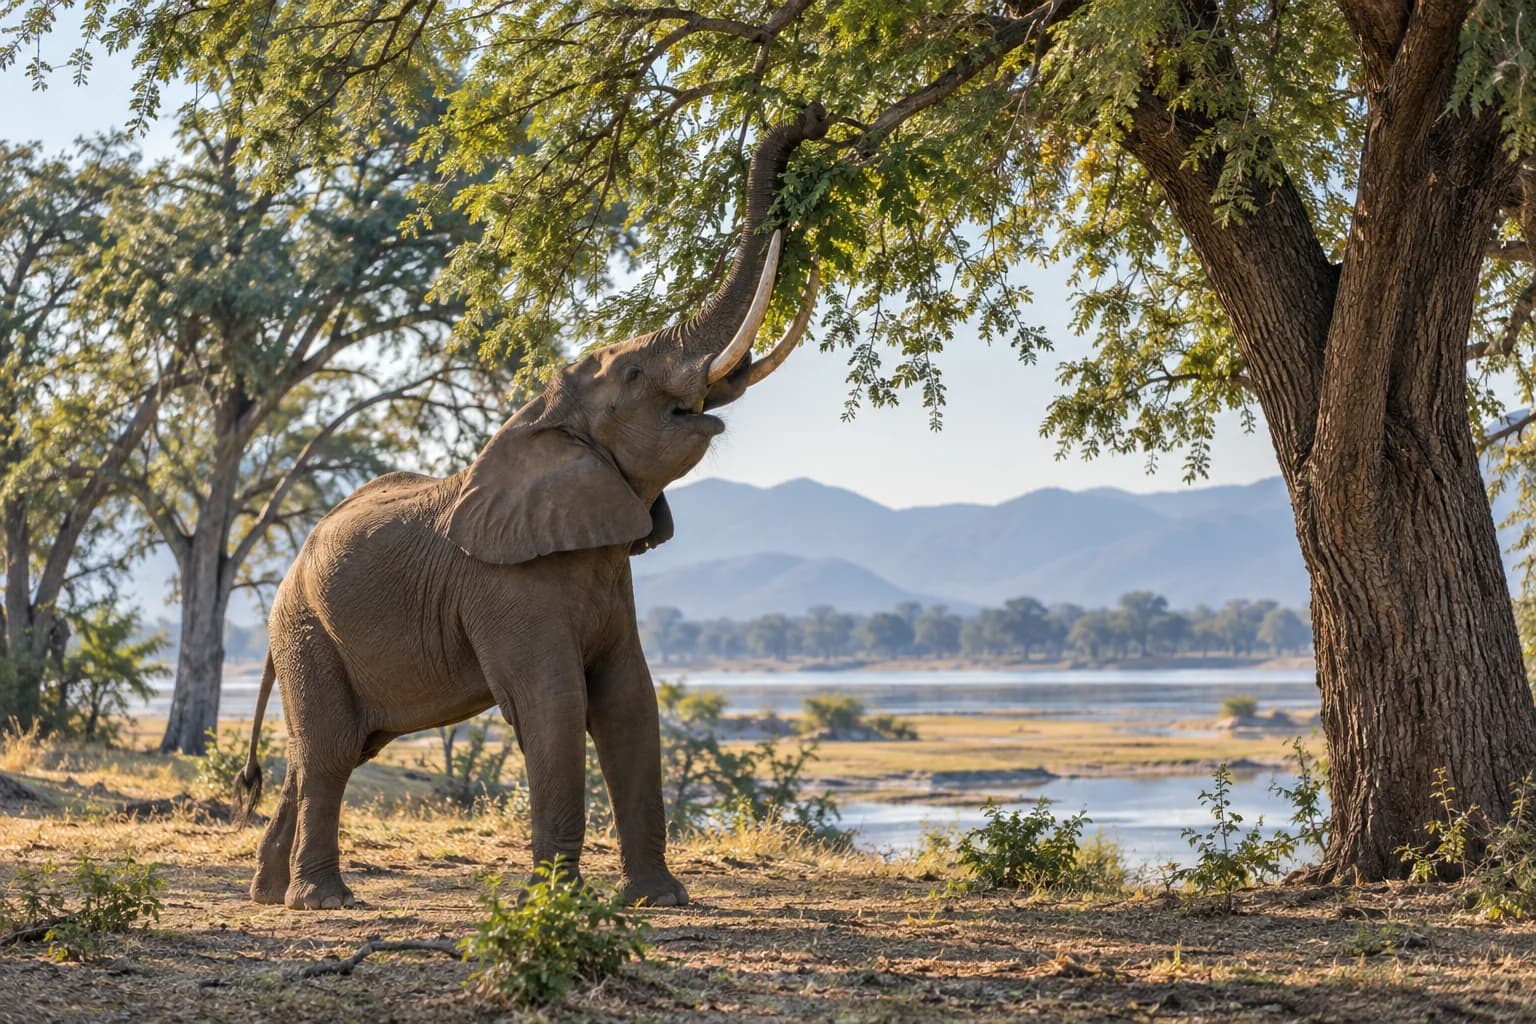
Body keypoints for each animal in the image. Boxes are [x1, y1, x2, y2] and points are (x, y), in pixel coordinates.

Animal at [231, 105, 830, 910]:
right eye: (633, 374)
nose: (809, 120)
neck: (541, 417)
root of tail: (288, 570)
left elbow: (629, 700)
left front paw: (657, 901)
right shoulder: (504, 586)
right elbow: (556, 706)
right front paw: (557, 904)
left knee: (329, 751)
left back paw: (271, 895)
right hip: (305, 628)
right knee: (328, 752)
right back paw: (323, 902)